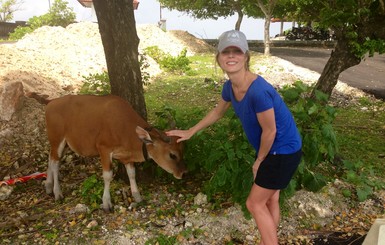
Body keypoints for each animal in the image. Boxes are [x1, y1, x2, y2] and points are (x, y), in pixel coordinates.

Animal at [36, 94, 186, 211]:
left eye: (182, 150)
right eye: (172, 155)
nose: (183, 173)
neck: (124, 127)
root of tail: (51, 101)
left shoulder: (126, 156)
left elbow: (132, 174)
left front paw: (137, 196)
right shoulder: (104, 149)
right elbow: (108, 175)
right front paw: (106, 203)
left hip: (63, 143)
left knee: (51, 159)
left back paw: (48, 186)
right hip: (57, 139)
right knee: (55, 163)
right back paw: (57, 193)